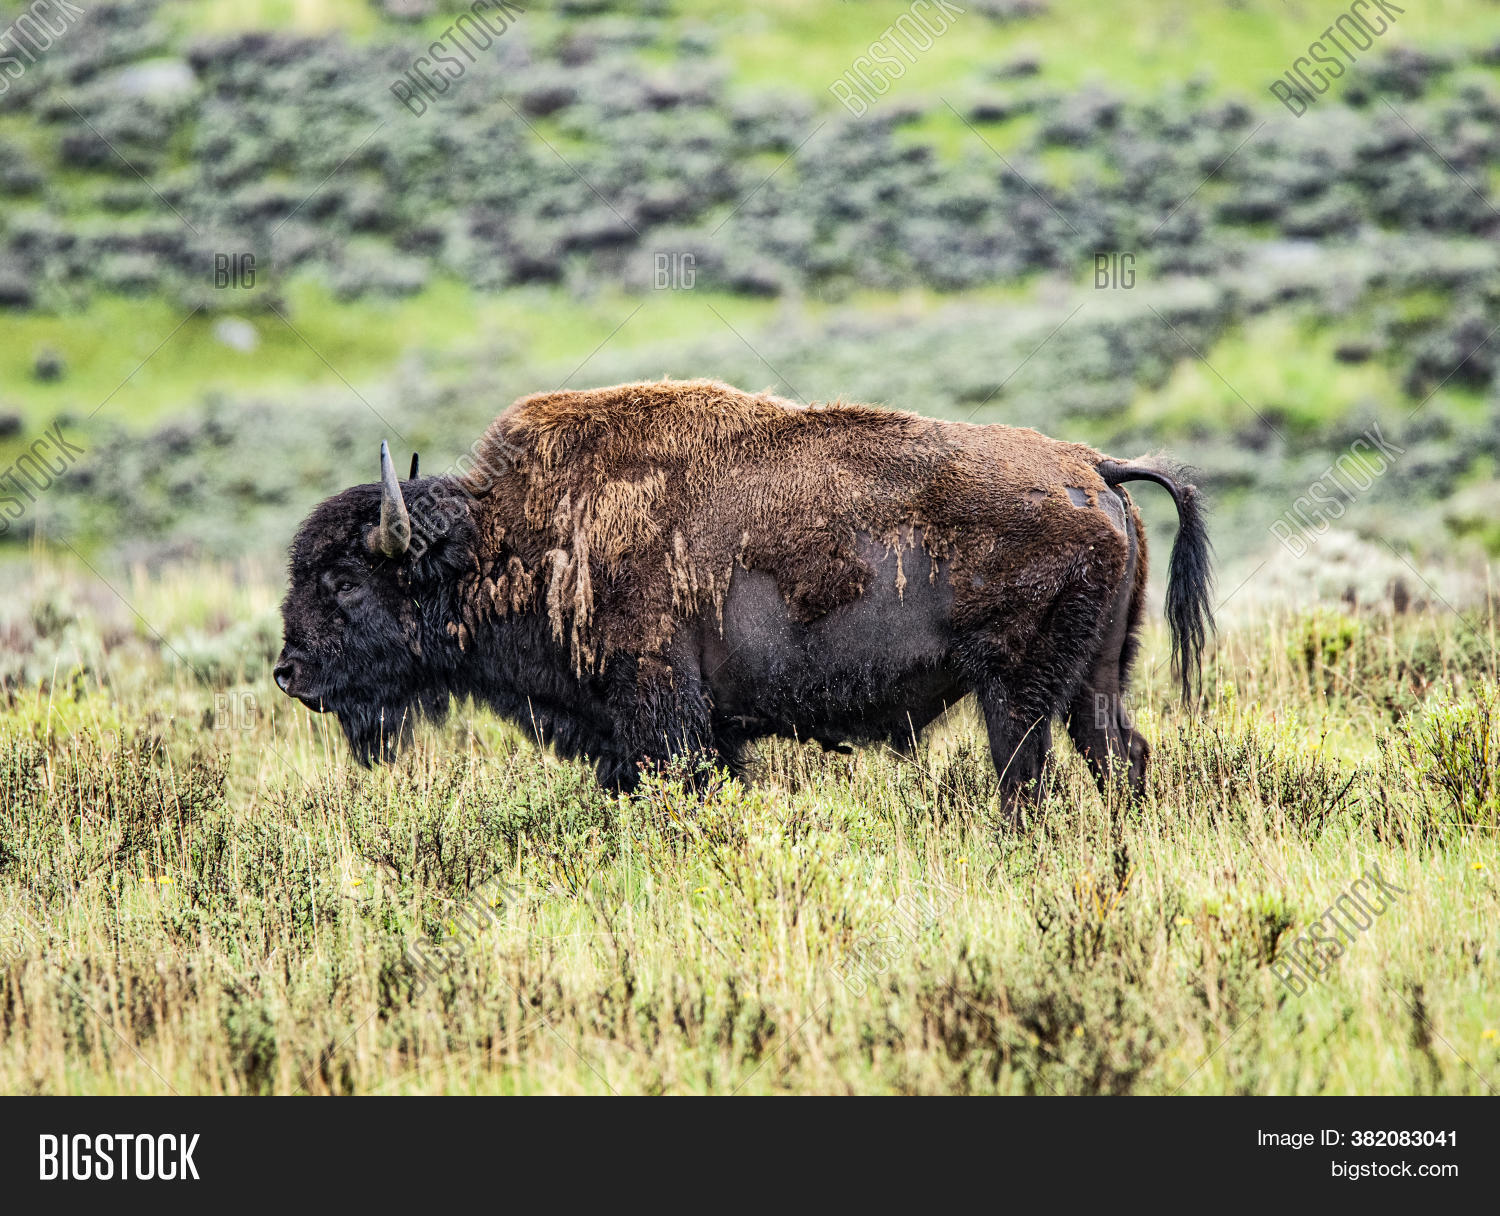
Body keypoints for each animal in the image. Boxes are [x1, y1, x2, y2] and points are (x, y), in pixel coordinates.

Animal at [274, 379, 1212, 813]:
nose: (288, 672)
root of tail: (1091, 467)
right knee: (1120, 755)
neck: (518, 536)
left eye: (344, 580)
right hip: (1096, 679)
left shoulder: (661, 721)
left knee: (1026, 778)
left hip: (1014, 693)